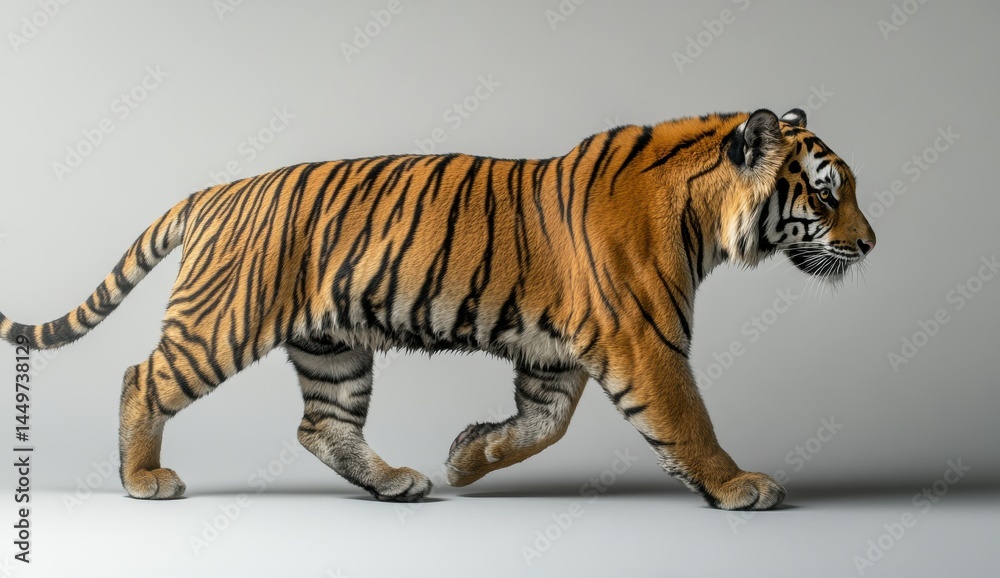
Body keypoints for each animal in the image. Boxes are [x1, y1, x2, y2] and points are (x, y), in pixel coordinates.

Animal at [0, 107, 874, 509]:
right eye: (828, 194)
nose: (870, 244)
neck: (706, 217)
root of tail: (216, 191)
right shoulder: (645, 343)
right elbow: (689, 421)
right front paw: (739, 487)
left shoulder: (557, 354)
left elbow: (543, 425)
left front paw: (465, 458)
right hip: (222, 325)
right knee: (141, 377)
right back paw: (142, 479)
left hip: (332, 345)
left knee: (321, 425)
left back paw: (396, 482)